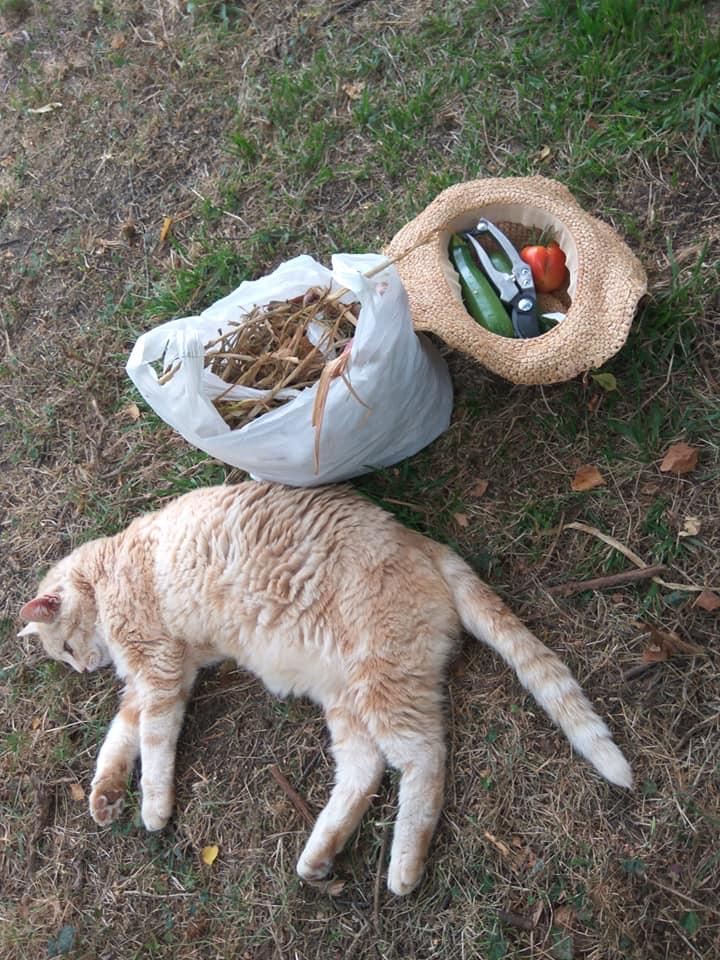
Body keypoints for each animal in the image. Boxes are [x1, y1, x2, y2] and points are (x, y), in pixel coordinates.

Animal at [18, 484, 632, 896]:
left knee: (424, 760)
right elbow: (119, 737)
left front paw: (151, 808)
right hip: (347, 699)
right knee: (365, 770)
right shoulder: (157, 678)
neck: (108, 569)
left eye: (65, 648)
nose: (82, 670)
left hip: (382, 688)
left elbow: (153, 744)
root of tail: (421, 541)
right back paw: (319, 854)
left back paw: (403, 868)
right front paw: (104, 795)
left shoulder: (161, 672)